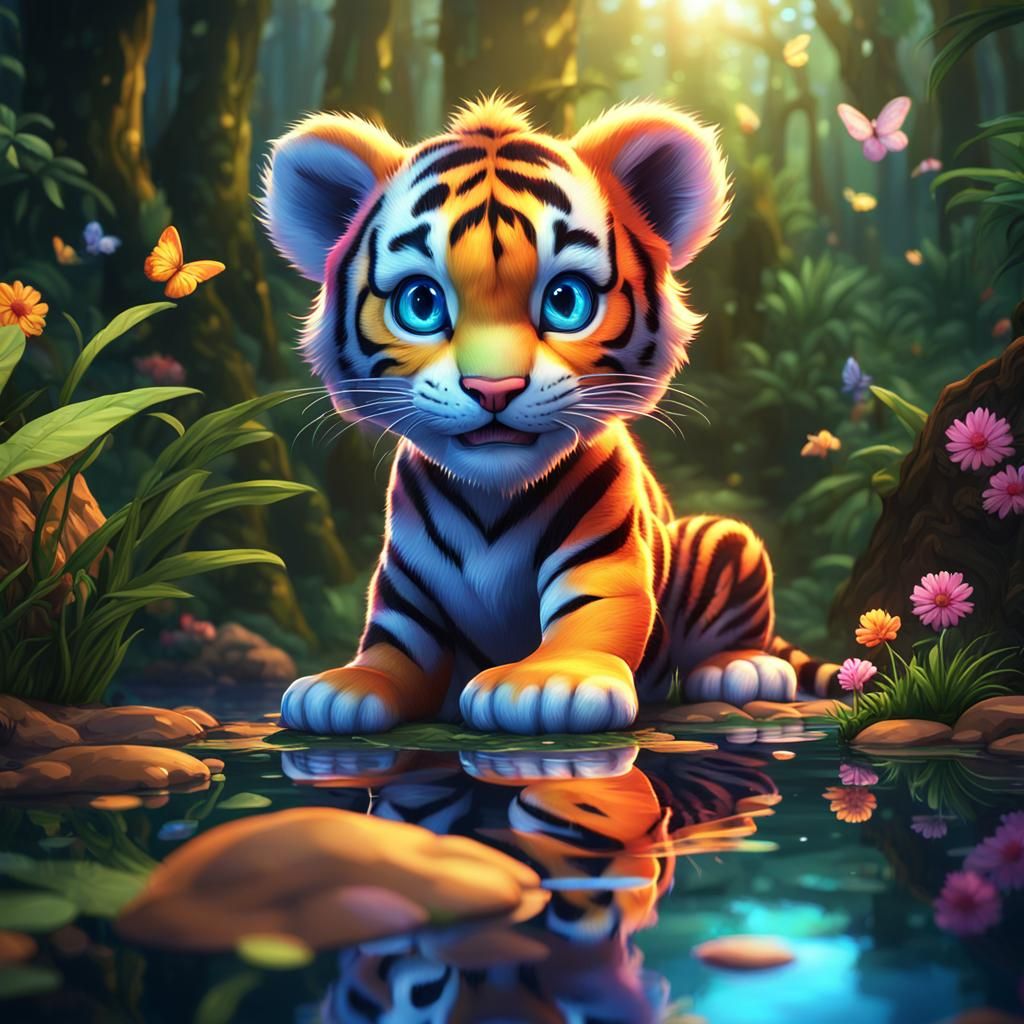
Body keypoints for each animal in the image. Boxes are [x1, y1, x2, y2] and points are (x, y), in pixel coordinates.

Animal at [261, 95, 839, 735]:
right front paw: (343, 686)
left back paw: (742, 669)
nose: (493, 388)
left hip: (726, 539)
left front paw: (549, 684)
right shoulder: (406, 592)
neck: (491, 499)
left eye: (565, 301)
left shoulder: (601, 558)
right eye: (421, 303)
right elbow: (392, 648)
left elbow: (594, 616)